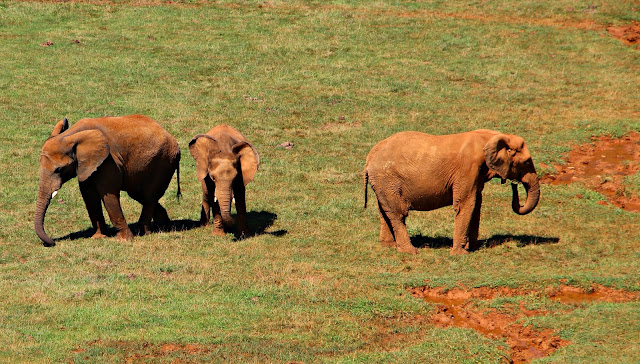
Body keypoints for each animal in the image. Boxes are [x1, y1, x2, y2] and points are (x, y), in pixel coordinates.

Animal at [35, 115, 181, 246]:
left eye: (59, 169)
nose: (52, 242)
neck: (69, 136)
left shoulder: (108, 161)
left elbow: (109, 195)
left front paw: (123, 240)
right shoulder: (86, 165)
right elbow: (89, 196)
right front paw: (98, 237)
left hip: (163, 162)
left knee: (148, 196)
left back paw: (143, 232)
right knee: (140, 195)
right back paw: (164, 227)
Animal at [364, 129, 540, 255]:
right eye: (526, 162)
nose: (514, 185)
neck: (492, 136)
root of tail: (369, 157)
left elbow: (476, 204)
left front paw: (473, 248)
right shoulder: (468, 169)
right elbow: (466, 204)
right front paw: (460, 253)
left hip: (382, 183)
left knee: (385, 212)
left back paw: (389, 247)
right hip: (387, 180)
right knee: (398, 213)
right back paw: (410, 251)